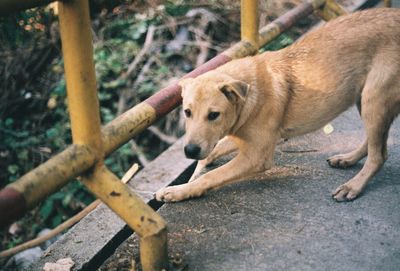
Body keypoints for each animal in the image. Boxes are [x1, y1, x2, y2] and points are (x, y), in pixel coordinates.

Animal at [155, 7, 400, 203]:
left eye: (214, 115)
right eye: (187, 112)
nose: (189, 151)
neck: (249, 94)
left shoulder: (256, 155)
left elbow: (212, 175)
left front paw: (180, 191)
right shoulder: (242, 138)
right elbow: (210, 155)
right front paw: (188, 180)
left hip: (374, 99)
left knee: (379, 155)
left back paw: (354, 186)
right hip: (364, 99)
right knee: (374, 143)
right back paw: (347, 159)